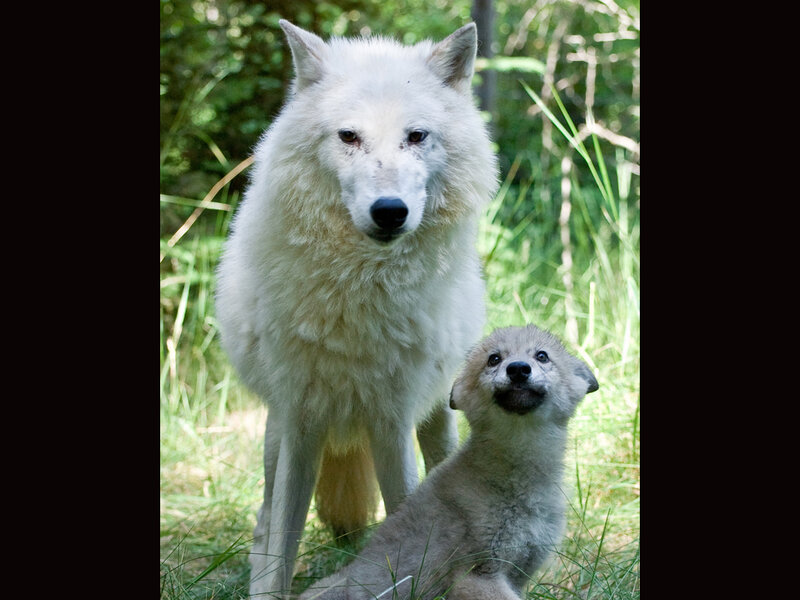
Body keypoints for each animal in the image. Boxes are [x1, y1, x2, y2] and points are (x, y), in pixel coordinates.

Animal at [214, 19, 499, 597]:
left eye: (416, 136)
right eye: (349, 137)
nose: (389, 212)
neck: (357, 294)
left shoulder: (392, 421)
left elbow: (406, 519)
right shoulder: (301, 421)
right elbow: (283, 540)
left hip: (435, 416)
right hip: (275, 434)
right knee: (263, 523)